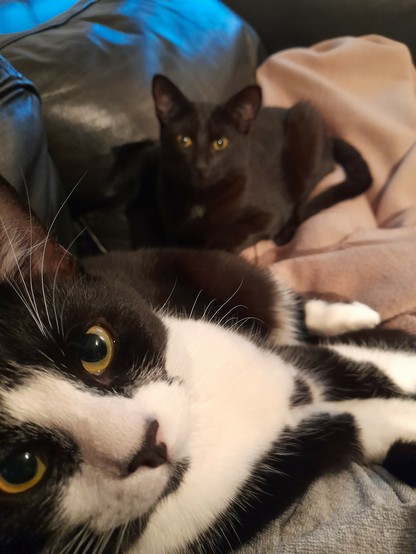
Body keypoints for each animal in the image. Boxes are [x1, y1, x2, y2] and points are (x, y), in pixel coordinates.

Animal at [122, 73, 372, 250]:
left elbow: (230, 235)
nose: (201, 166)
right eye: (184, 140)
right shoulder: (172, 225)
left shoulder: (271, 213)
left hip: (304, 120)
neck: (200, 199)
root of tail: (331, 138)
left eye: (220, 143)